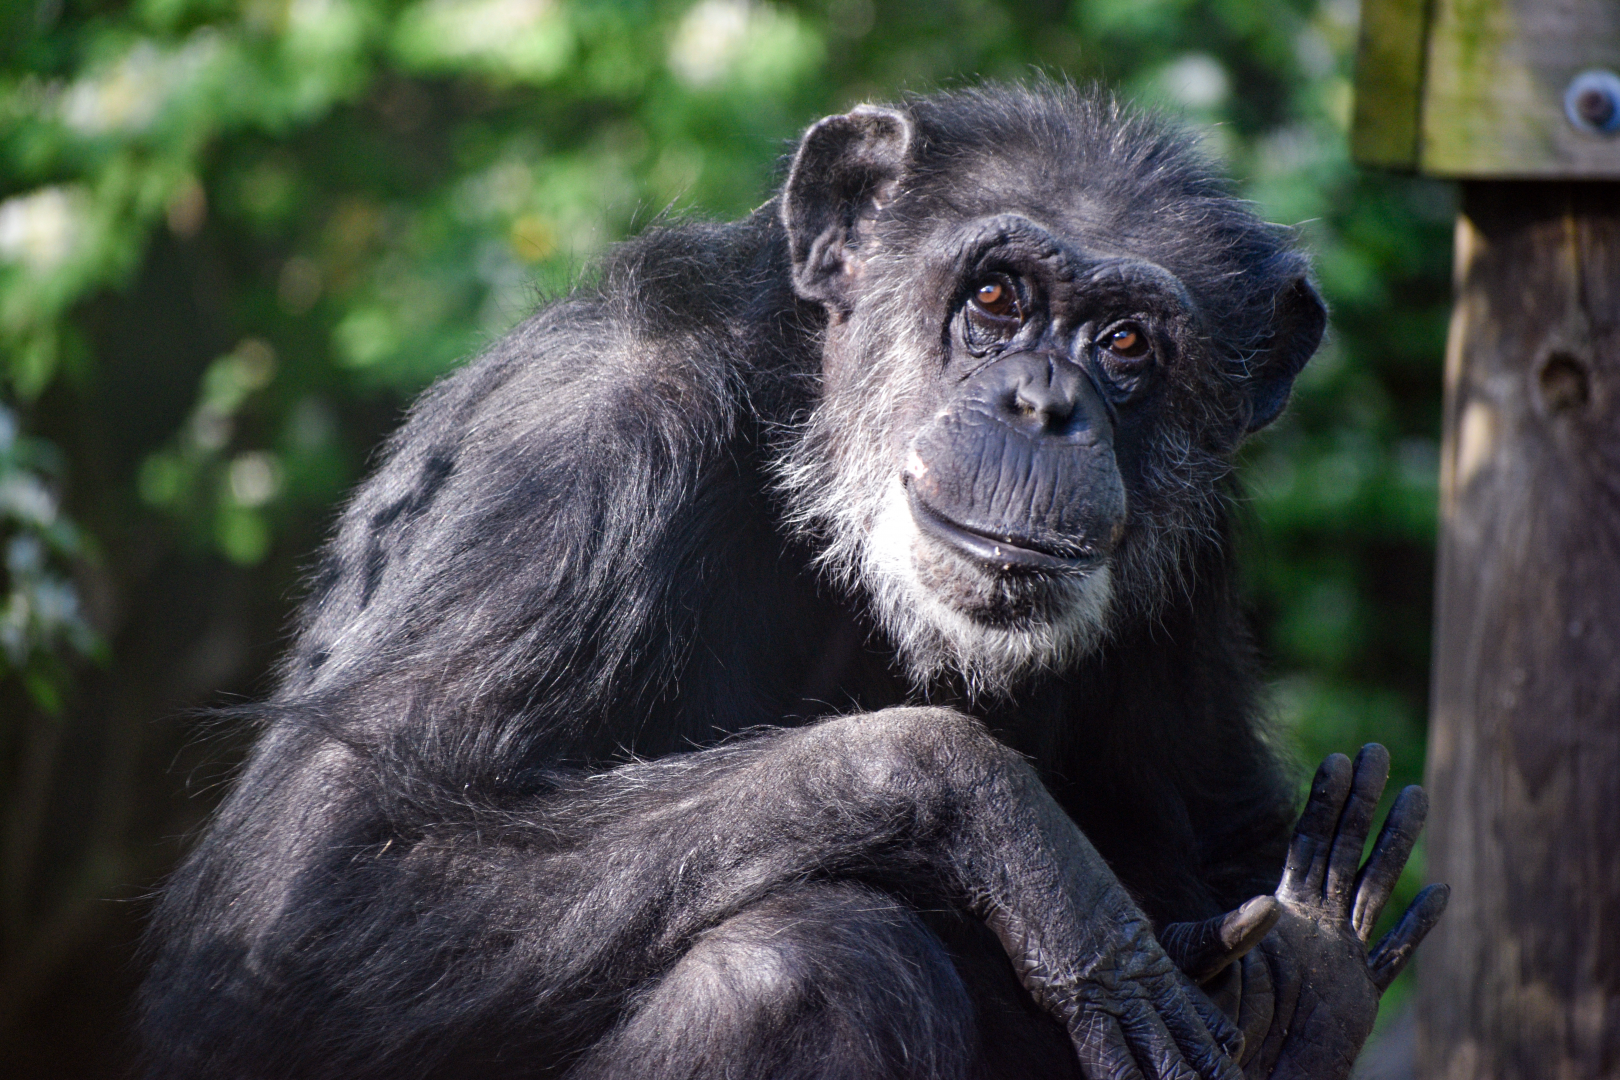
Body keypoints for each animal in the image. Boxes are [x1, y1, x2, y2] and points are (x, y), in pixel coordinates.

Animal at [140, 83, 1445, 1080]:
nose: (1044, 404)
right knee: (798, 968)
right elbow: (306, 895)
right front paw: (1014, 837)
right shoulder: (582, 449)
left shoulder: (1202, 545)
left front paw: (1305, 978)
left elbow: (1227, 836)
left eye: (1126, 343)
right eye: (997, 297)